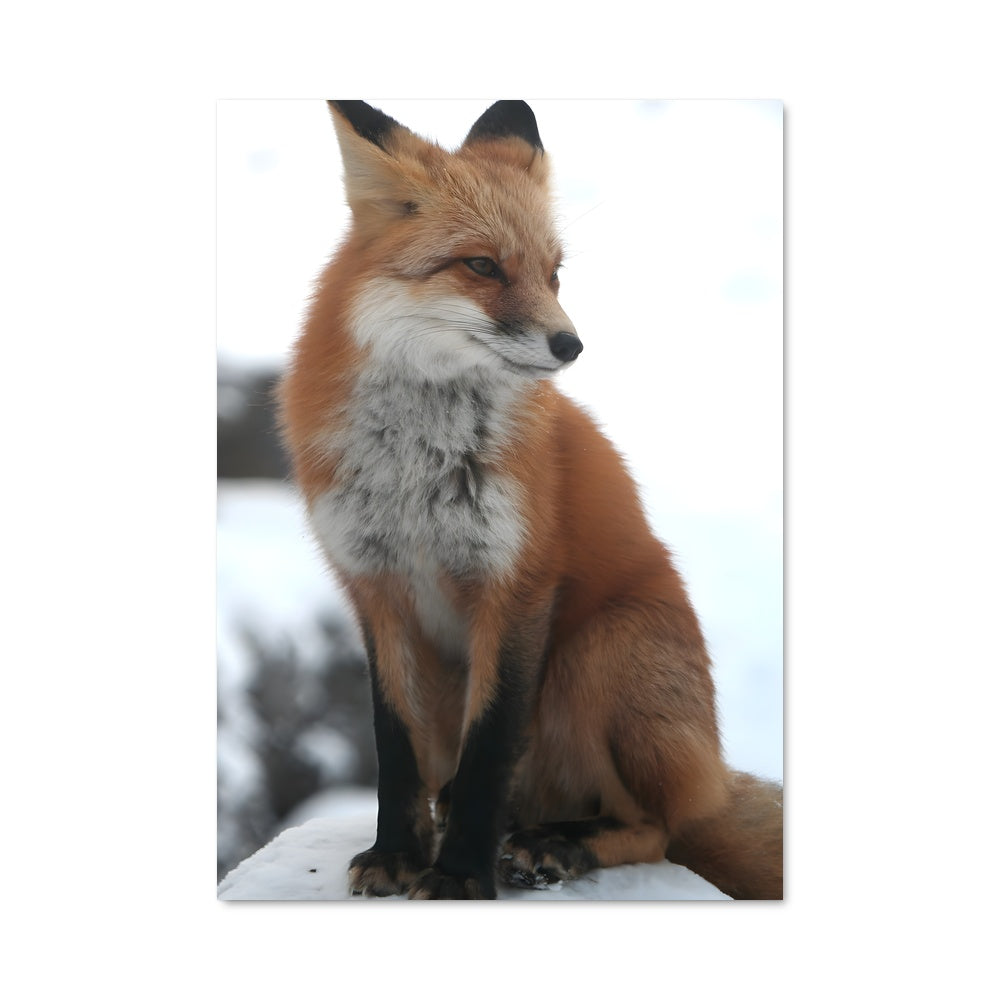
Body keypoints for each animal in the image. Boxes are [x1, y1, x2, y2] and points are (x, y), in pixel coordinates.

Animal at [278, 99, 782, 900]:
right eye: (482, 265)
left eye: (554, 274)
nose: (570, 345)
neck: (416, 470)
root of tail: (710, 776)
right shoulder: (375, 587)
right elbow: (395, 747)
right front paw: (399, 853)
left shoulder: (515, 584)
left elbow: (489, 751)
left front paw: (457, 877)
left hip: (598, 651)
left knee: (654, 827)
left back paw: (556, 843)